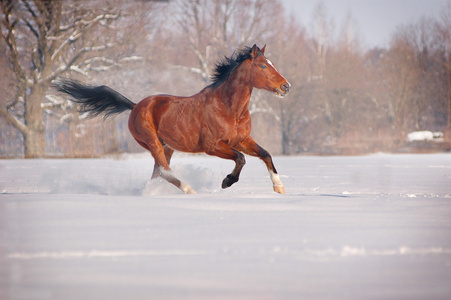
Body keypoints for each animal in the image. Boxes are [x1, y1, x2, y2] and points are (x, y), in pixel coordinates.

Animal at [54, 44, 292, 195]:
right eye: (263, 66)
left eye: (271, 63)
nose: (286, 86)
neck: (229, 108)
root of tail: (135, 105)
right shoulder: (213, 146)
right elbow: (241, 159)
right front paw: (227, 182)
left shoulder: (241, 140)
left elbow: (265, 154)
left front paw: (279, 188)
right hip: (152, 142)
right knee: (165, 172)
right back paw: (190, 190)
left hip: (167, 146)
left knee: (159, 172)